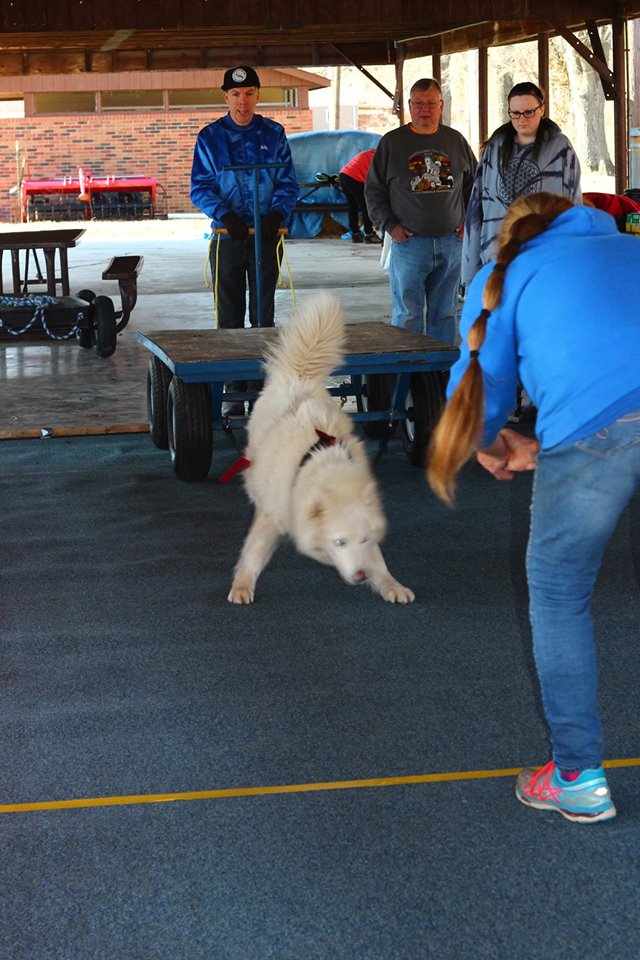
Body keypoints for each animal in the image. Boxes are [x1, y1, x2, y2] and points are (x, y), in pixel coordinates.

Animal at [228, 294, 418, 608]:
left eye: (364, 539)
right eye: (339, 542)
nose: (361, 577)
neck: (319, 462)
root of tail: (301, 375)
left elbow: (379, 562)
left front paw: (391, 585)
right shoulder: (272, 515)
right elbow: (253, 553)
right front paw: (242, 586)